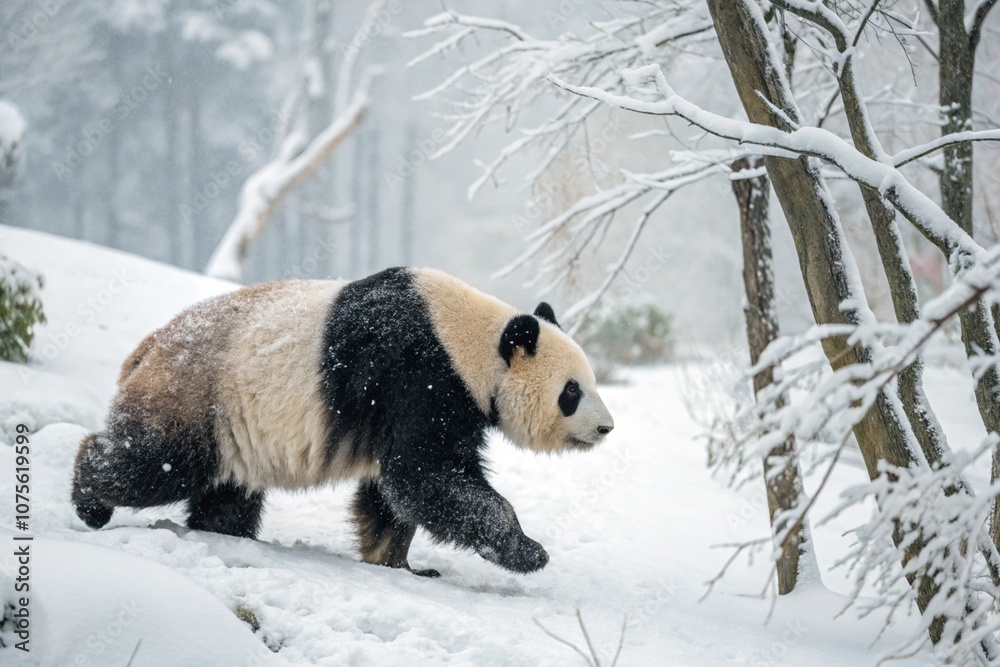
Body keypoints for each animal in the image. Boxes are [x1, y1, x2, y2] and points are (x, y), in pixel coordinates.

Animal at [72, 267, 614, 576]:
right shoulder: (419, 376)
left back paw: (223, 533)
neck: (468, 339)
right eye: (572, 391)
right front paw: (529, 551)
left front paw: (395, 563)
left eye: (590, 382)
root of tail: (146, 348)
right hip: (197, 392)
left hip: (229, 421)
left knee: (228, 491)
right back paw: (89, 500)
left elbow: (392, 492)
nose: (606, 428)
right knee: (156, 463)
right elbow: (425, 474)